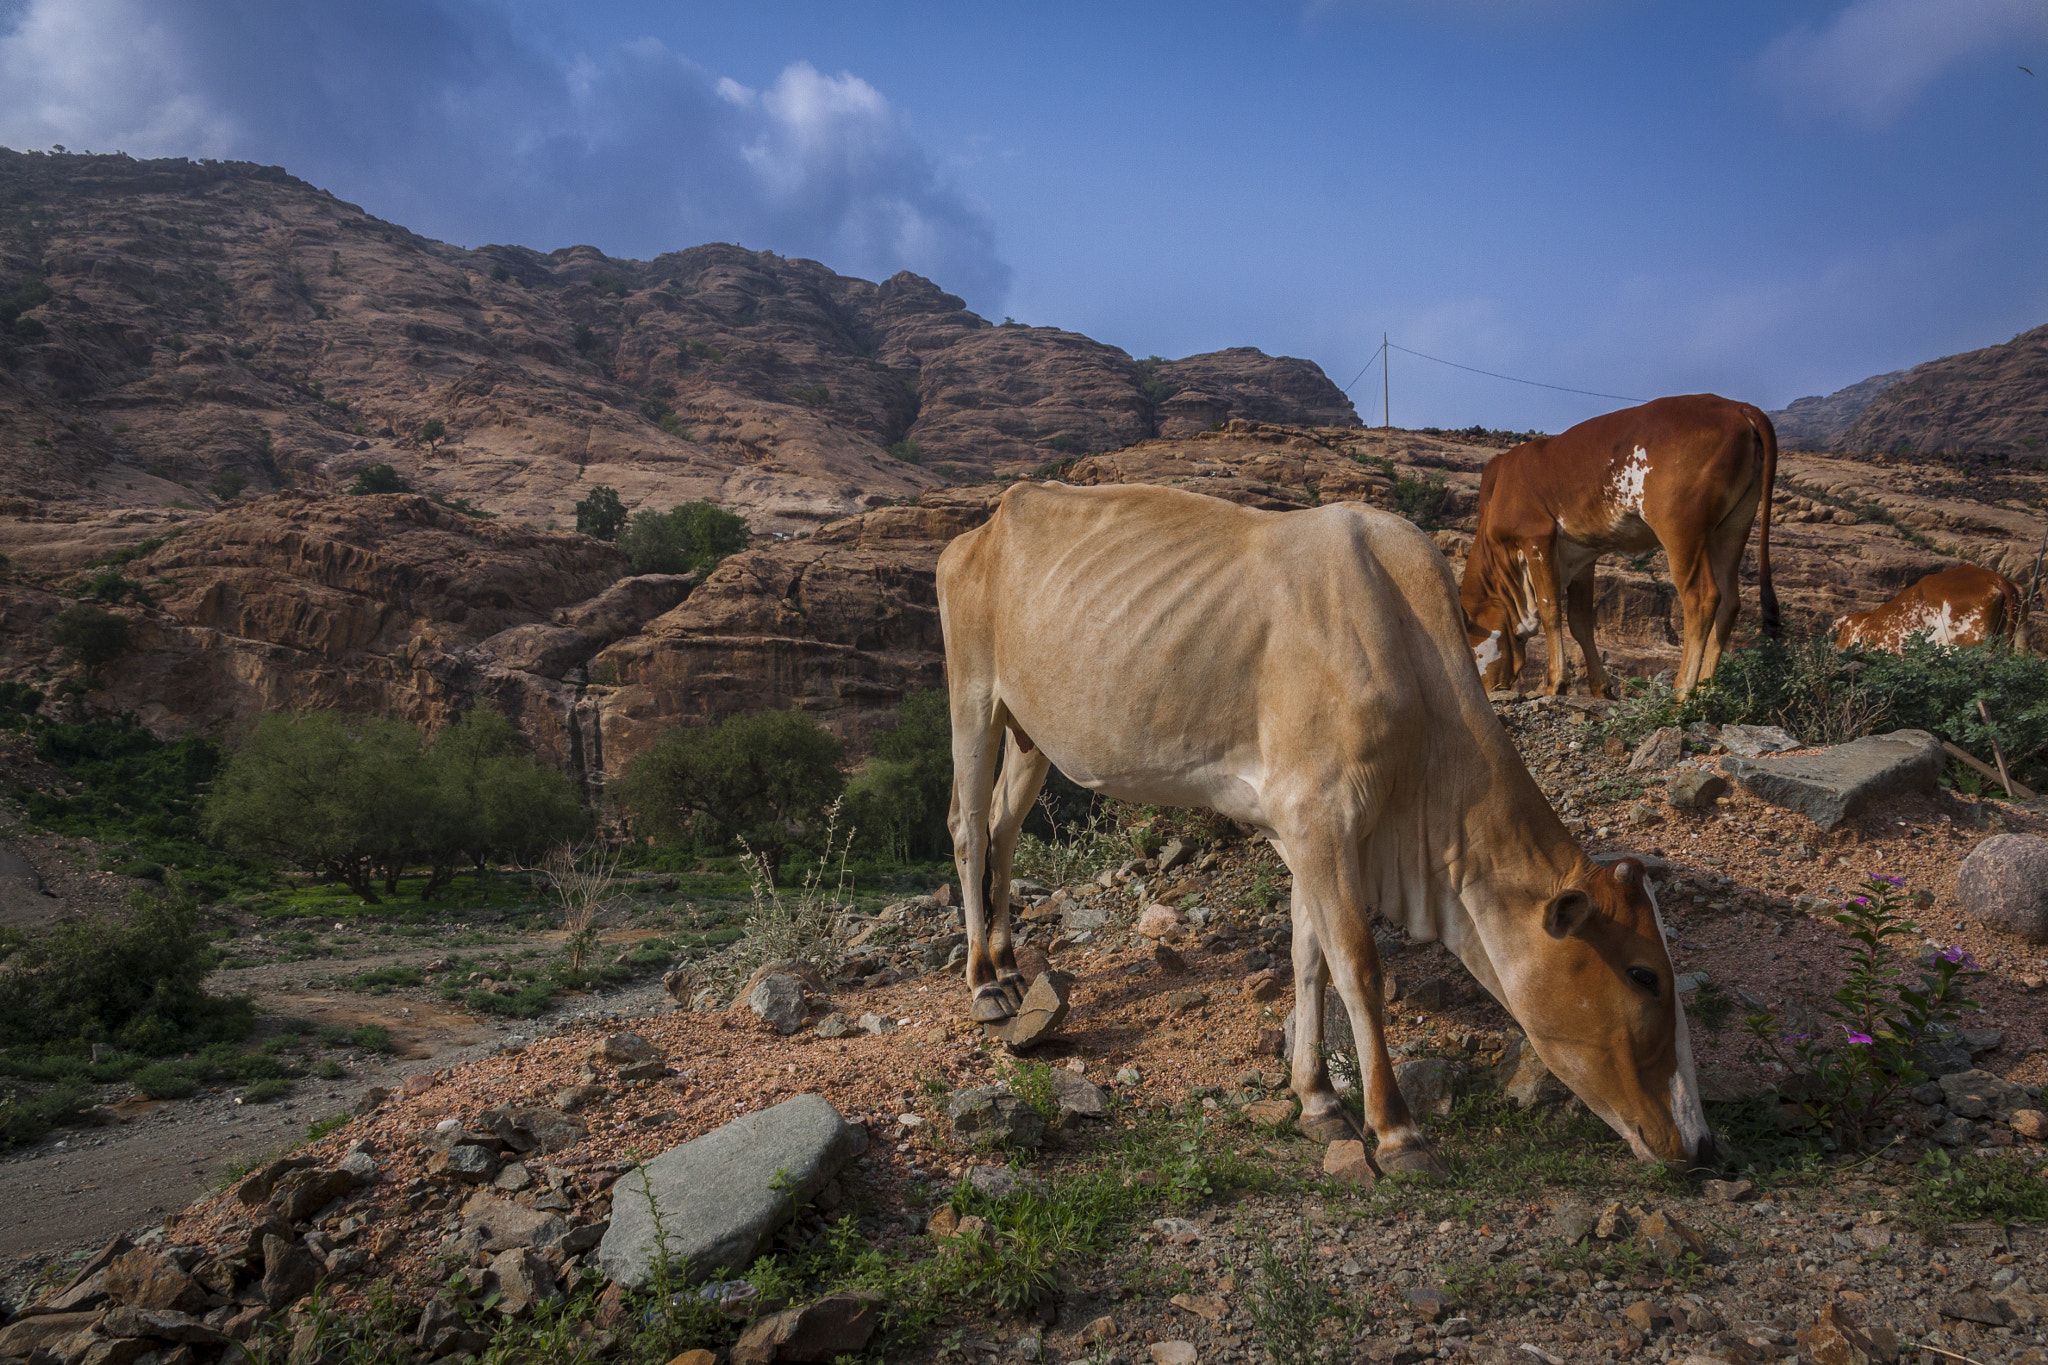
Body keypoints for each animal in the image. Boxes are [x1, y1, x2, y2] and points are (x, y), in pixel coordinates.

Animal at [935, 482, 1712, 1175]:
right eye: (1644, 974)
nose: (1700, 1141)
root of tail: (992, 520)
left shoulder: (1304, 827)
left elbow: (1309, 954)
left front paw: (1317, 1099)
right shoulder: (1320, 817)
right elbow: (1357, 967)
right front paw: (1397, 1131)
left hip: (1031, 731)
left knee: (1005, 826)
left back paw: (1010, 962)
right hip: (973, 698)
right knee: (969, 827)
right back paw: (985, 984)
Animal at [1460, 394, 1779, 698]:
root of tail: (1738, 407)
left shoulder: (1536, 539)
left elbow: (1551, 611)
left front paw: (1555, 684)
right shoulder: (1581, 555)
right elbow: (1580, 623)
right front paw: (1601, 689)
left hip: (1680, 529)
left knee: (1701, 598)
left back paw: (1682, 694)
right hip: (1733, 527)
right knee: (1729, 602)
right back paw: (1705, 691)